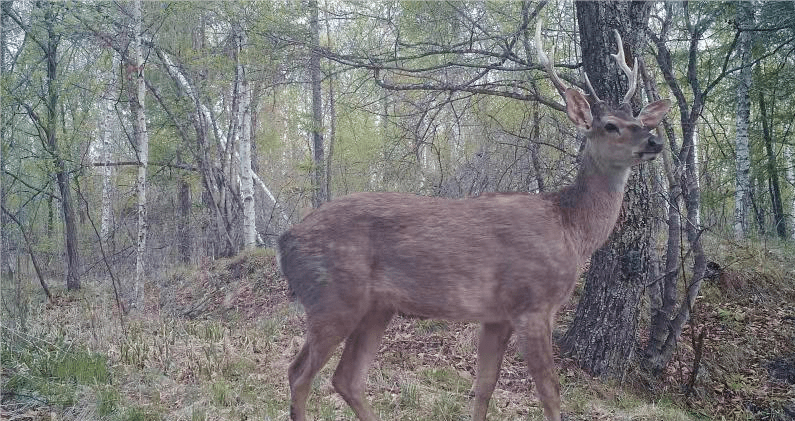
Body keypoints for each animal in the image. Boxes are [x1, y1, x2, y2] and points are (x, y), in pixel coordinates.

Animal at [280, 22, 672, 420]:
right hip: (333, 296)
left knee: (346, 377)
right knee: (299, 373)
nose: (655, 141)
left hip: (376, 307)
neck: (571, 230)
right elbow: (550, 391)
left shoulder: (496, 315)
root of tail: (285, 239)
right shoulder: (532, 303)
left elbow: (484, 386)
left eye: (638, 119)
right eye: (609, 125)